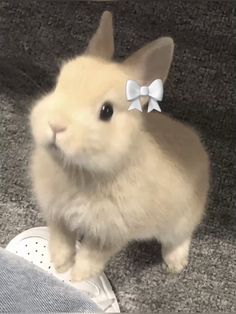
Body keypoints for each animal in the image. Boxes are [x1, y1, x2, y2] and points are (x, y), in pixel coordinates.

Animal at [30, 11, 210, 282]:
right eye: (57, 85)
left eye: (107, 111)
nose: (56, 125)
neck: (81, 171)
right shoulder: (58, 215)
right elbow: (61, 239)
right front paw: (60, 265)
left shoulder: (111, 233)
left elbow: (92, 256)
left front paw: (78, 277)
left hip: (179, 220)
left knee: (179, 238)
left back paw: (175, 264)